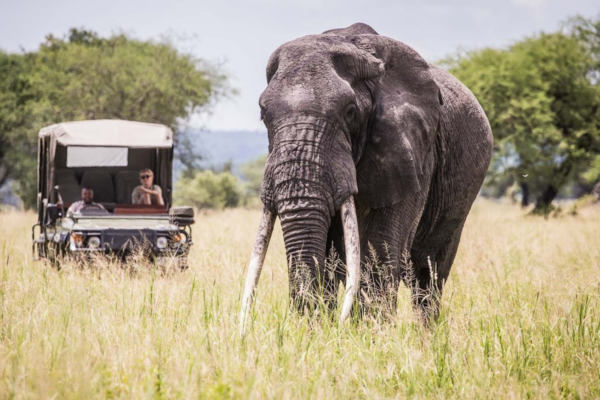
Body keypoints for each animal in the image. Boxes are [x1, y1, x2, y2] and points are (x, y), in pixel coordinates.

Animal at [239, 21, 492, 332]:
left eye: (350, 113)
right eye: (263, 115)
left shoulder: (415, 151)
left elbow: (379, 250)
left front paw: (368, 335)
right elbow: (326, 255)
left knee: (429, 275)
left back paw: (428, 338)